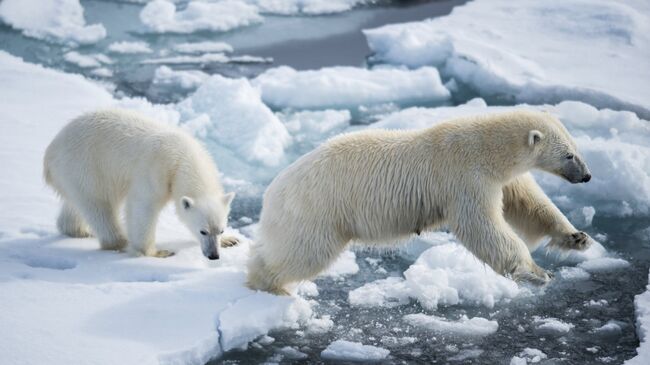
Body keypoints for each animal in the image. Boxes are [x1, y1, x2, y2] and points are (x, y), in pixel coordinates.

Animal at [46, 109, 238, 258]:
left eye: (220, 230)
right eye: (203, 231)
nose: (214, 256)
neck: (184, 157)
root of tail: (50, 151)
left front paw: (230, 240)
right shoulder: (156, 171)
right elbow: (142, 207)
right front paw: (156, 252)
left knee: (76, 204)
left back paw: (78, 230)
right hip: (85, 166)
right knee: (99, 206)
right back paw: (119, 241)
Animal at [249, 109, 592, 294]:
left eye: (576, 147)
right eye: (568, 155)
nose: (587, 176)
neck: (487, 148)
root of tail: (272, 190)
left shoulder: (503, 179)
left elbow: (531, 205)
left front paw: (577, 237)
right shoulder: (465, 178)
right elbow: (483, 227)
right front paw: (537, 271)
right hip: (317, 209)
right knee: (304, 252)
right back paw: (268, 284)